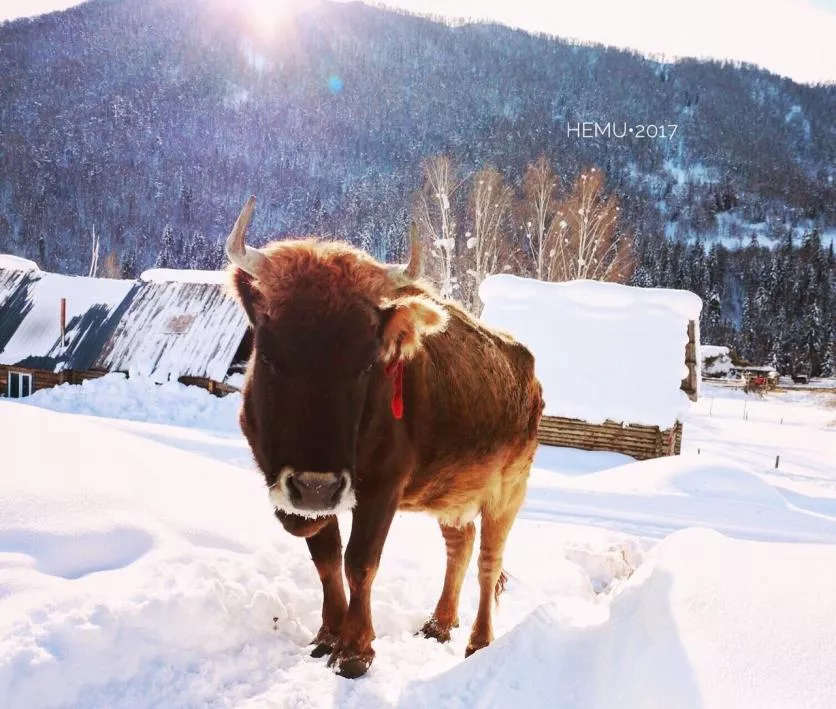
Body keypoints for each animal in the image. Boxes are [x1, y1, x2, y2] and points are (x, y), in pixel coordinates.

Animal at [225, 196, 544, 676]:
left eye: (366, 362)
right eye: (270, 355)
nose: (315, 486)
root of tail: (526, 367)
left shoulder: (381, 488)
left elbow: (360, 561)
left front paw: (355, 651)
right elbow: (326, 558)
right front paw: (327, 636)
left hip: (507, 492)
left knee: (489, 560)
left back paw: (478, 642)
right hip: (450, 495)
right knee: (460, 545)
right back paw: (438, 625)